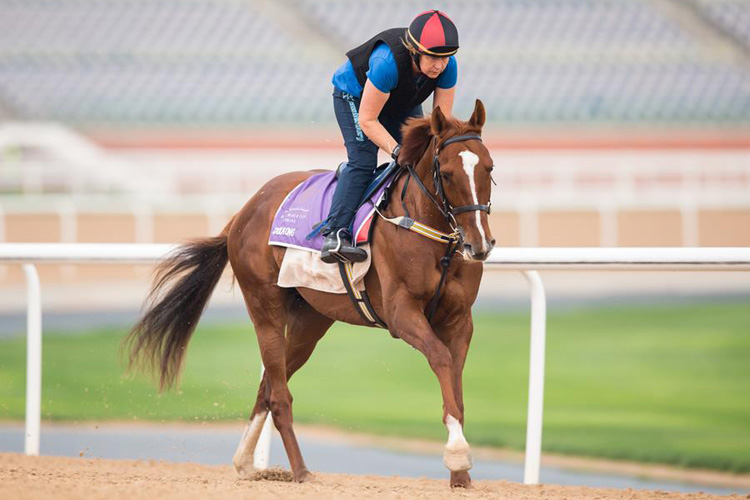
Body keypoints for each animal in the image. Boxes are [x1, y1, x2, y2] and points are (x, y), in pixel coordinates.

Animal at [126, 98, 496, 488]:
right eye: (449, 173)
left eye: (489, 168)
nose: (479, 245)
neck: (431, 236)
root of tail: (246, 209)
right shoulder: (402, 314)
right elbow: (440, 358)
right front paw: (458, 452)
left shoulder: (459, 319)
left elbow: (455, 378)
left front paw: (460, 477)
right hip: (265, 309)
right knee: (278, 395)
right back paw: (301, 471)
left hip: (310, 320)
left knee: (267, 387)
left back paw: (245, 462)